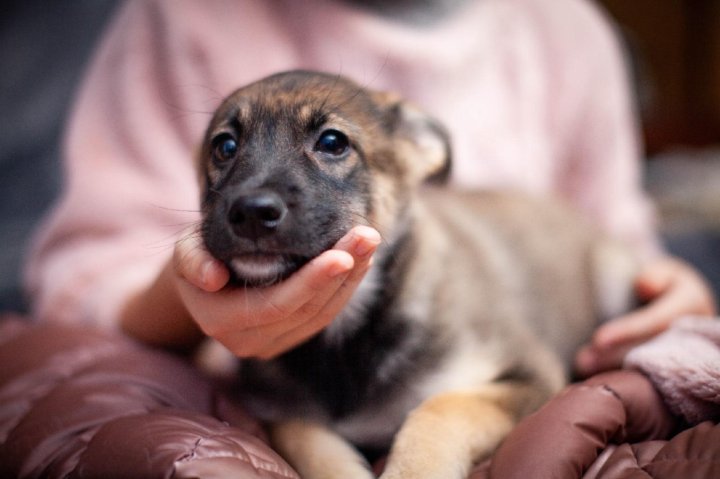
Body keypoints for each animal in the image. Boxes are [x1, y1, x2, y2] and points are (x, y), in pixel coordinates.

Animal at [197, 71, 636, 479]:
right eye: (225, 147)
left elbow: (442, 408)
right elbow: (304, 439)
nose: (251, 212)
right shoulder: (279, 411)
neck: (345, 334)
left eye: (332, 142)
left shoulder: (532, 374)